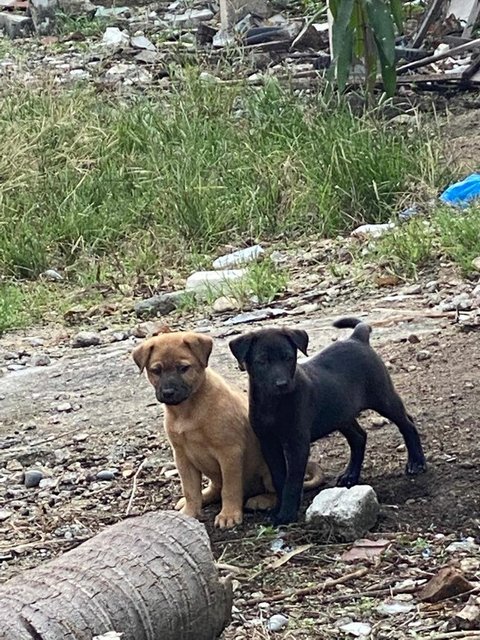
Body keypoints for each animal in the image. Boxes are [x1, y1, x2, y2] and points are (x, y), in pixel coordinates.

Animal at [133, 332, 324, 528]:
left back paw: (261, 500)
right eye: (156, 370)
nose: (168, 393)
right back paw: (205, 496)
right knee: (215, 488)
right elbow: (190, 490)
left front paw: (229, 515)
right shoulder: (182, 457)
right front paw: (189, 513)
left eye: (183, 368)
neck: (188, 411)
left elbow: (230, 488)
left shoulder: (229, 453)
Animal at [230, 318, 428, 524]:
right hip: (341, 414)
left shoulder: (297, 443)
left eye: (288, 358)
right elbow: (279, 478)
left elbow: (292, 481)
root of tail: (357, 338)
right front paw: (278, 508)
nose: (282, 384)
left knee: (407, 424)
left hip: (383, 397)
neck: (274, 403)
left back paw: (416, 462)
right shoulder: (268, 443)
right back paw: (350, 475)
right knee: (359, 437)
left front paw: (286, 514)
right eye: (262, 361)